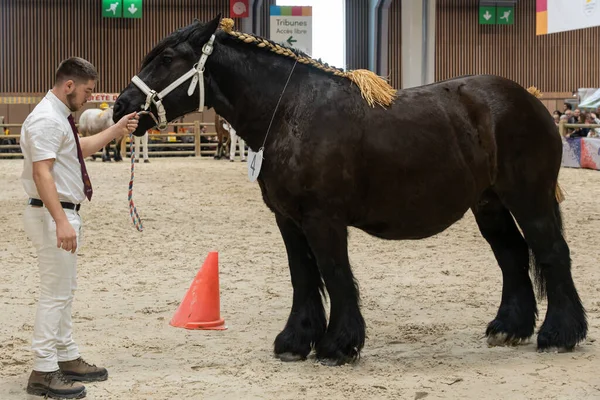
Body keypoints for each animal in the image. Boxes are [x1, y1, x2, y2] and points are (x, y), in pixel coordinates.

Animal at [112, 15, 584, 366]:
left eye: (167, 57)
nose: (120, 107)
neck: (290, 111)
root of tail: (531, 100)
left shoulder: (324, 219)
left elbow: (335, 274)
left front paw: (339, 345)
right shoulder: (288, 219)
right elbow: (303, 276)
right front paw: (295, 341)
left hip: (529, 198)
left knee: (551, 253)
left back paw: (560, 334)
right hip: (489, 205)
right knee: (513, 256)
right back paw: (509, 328)